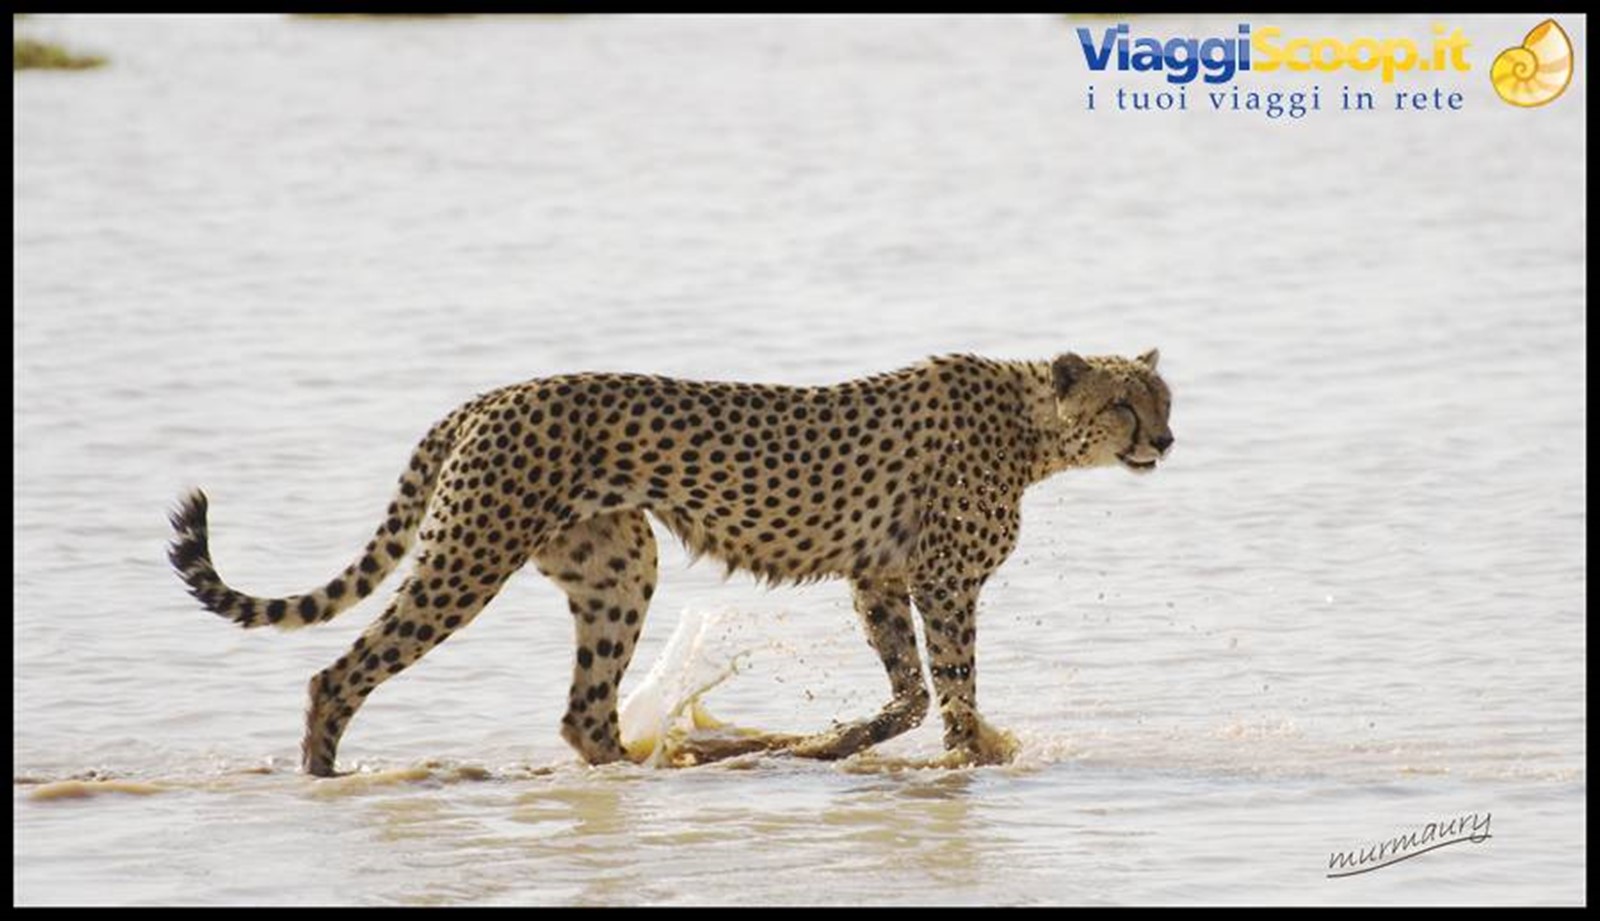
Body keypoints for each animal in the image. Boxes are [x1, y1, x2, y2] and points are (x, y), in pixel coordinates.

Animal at [168, 350, 1174, 775]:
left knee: (583, 712)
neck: (1031, 425)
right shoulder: (939, 580)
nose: (1165, 440)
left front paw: (829, 742)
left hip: (618, 565)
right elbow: (951, 685)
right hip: (471, 556)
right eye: (1127, 403)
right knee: (338, 673)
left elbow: (911, 693)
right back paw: (324, 775)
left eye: (1163, 396)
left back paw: (671, 763)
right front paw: (976, 752)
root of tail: (490, 395)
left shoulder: (880, 577)